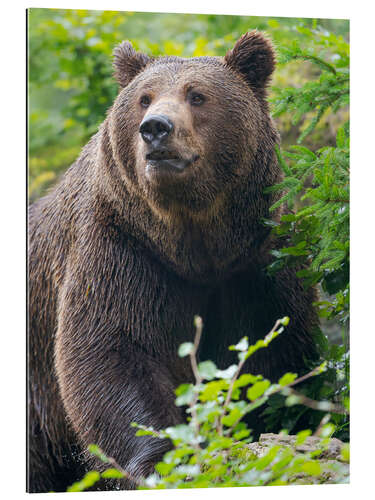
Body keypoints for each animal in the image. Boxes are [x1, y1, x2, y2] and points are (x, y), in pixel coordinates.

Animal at [27, 32, 318, 492]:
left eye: (197, 95)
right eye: (143, 98)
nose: (155, 128)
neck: (193, 245)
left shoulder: (257, 264)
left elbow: (273, 351)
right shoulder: (122, 249)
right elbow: (113, 352)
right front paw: (159, 457)